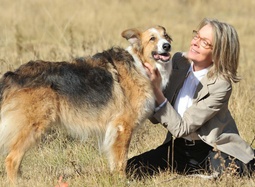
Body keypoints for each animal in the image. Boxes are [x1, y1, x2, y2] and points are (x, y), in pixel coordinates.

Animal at [0, 25, 173, 184]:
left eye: (166, 36)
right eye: (152, 39)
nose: (167, 46)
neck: (139, 63)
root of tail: (13, 76)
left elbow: (115, 160)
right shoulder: (122, 127)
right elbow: (121, 160)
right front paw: (122, 181)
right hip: (32, 127)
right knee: (11, 159)